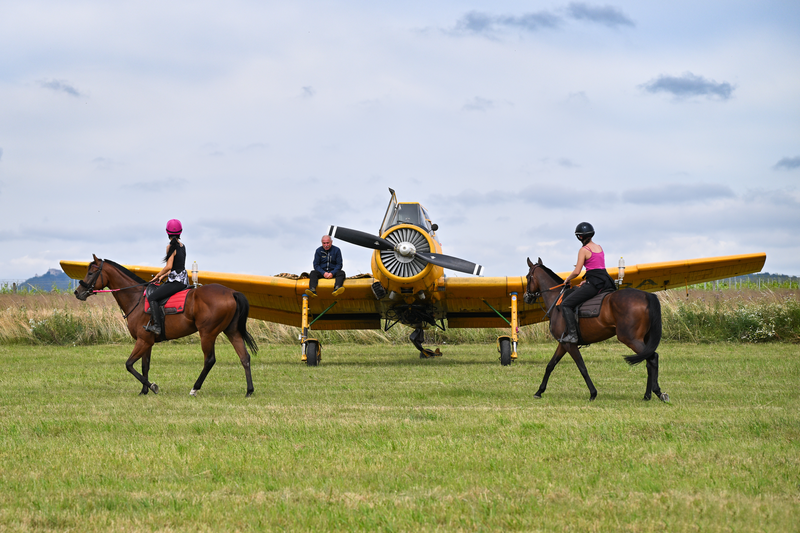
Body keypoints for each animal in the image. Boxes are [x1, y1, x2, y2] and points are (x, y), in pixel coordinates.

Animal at [74, 256, 256, 396]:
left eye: (91, 272)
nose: (77, 292)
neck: (136, 299)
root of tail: (231, 292)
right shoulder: (147, 342)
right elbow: (144, 366)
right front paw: (144, 391)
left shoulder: (143, 341)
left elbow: (129, 365)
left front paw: (152, 387)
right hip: (231, 331)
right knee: (244, 357)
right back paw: (249, 390)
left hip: (207, 333)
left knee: (210, 360)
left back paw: (195, 388)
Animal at [524, 256, 668, 402]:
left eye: (527, 277)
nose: (526, 297)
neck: (557, 302)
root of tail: (646, 295)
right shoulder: (563, 344)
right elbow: (550, 365)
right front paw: (539, 391)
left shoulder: (570, 344)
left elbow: (582, 367)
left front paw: (593, 393)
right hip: (643, 339)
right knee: (649, 361)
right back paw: (648, 395)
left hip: (630, 339)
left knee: (652, 358)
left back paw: (657, 392)